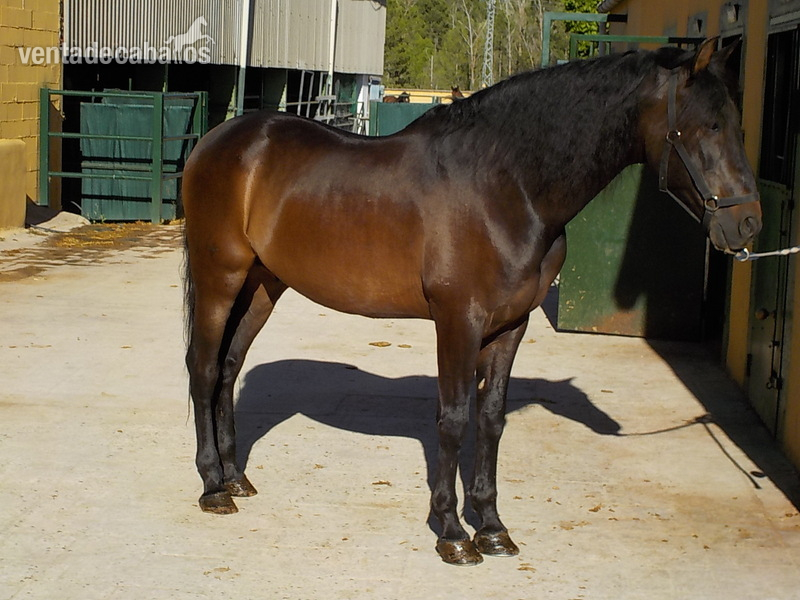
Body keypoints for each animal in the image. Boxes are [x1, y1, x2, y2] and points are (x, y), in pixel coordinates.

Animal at [182, 38, 761, 566]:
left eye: (736, 123)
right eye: (709, 125)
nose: (748, 223)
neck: (507, 186)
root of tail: (219, 139)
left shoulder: (511, 325)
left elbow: (492, 419)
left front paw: (493, 527)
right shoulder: (458, 320)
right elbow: (455, 418)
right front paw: (452, 532)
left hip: (263, 284)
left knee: (230, 366)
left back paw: (236, 478)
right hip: (221, 275)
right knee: (204, 367)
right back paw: (212, 486)